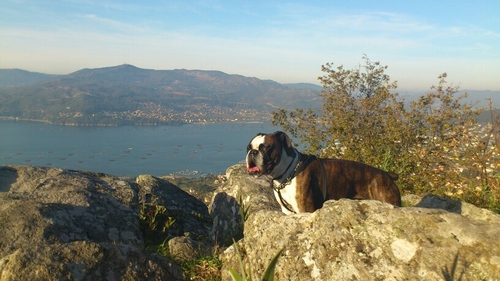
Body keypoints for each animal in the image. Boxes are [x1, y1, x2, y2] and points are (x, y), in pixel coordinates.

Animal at [246, 130, 402, 213]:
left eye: (265, 147)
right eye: (248, 147)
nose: (252, 152)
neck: (287, 173)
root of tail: (387, 175)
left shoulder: (305, 210)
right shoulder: (288, 212)